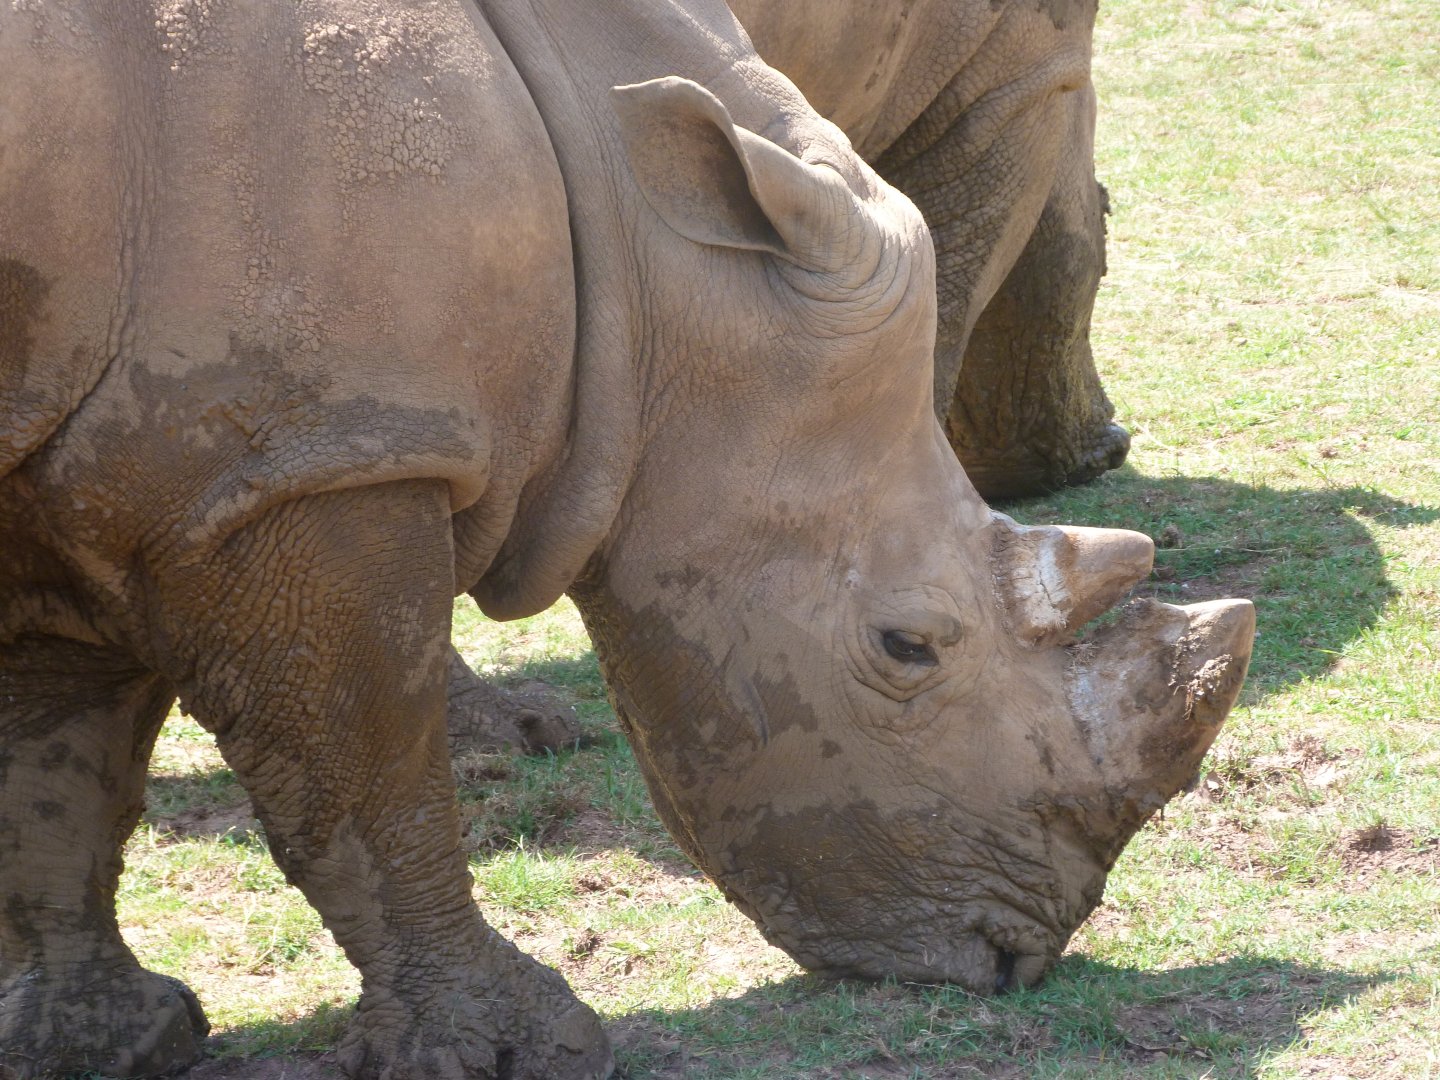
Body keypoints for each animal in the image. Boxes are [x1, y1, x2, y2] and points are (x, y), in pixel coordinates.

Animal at [0, 1, 1252, 1079]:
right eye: (907, 647)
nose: (1013, 958)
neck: (642, 248)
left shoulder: (109, 454)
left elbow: (61, 769)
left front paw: (107, 1045)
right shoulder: (297, 463)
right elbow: (361, 777)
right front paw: (525, 1053)